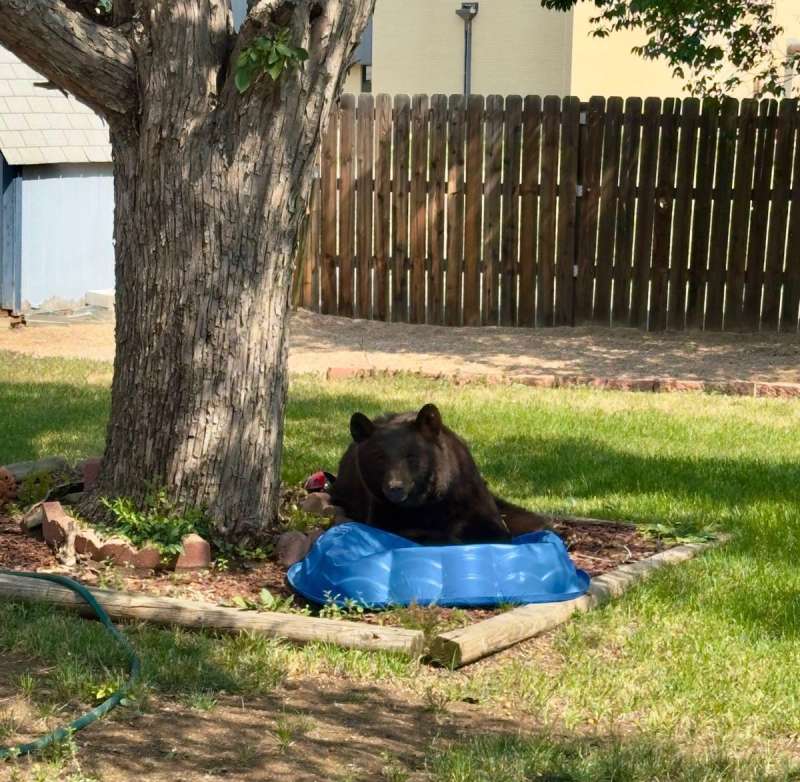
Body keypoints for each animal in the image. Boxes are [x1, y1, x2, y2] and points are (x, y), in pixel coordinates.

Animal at [330, 403, 549, 544]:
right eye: (379, 457)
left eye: (411, 456)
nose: (395, 488)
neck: (427, 501)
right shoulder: (382, 509)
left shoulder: (468, 495)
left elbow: (495, 531)